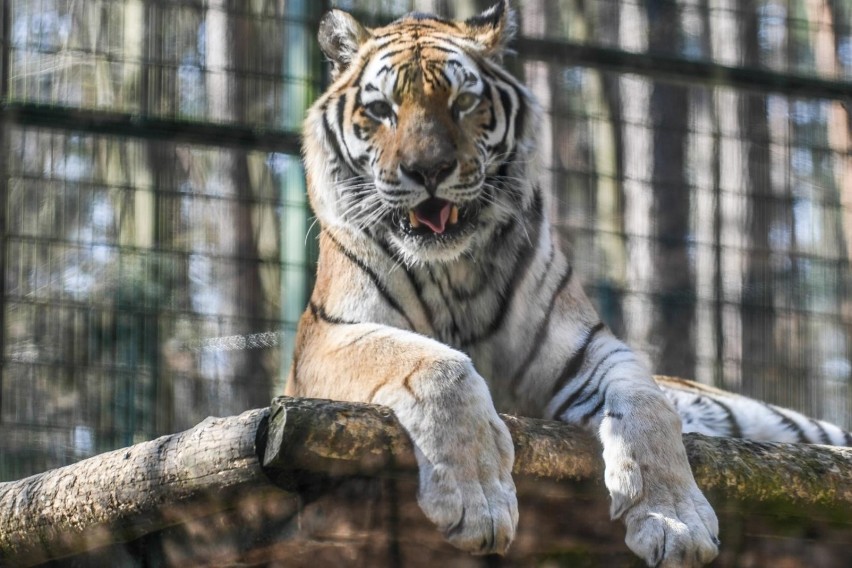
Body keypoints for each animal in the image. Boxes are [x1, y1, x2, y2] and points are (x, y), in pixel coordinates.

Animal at [288, 2, 852, 564]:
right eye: (380, 109)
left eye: (464, 101)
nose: (429, 169)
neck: (454, 269)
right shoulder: (324, 341)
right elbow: (440, 365)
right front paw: (479, 503)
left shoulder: (585, 347)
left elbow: (648, 406)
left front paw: (676, 521)